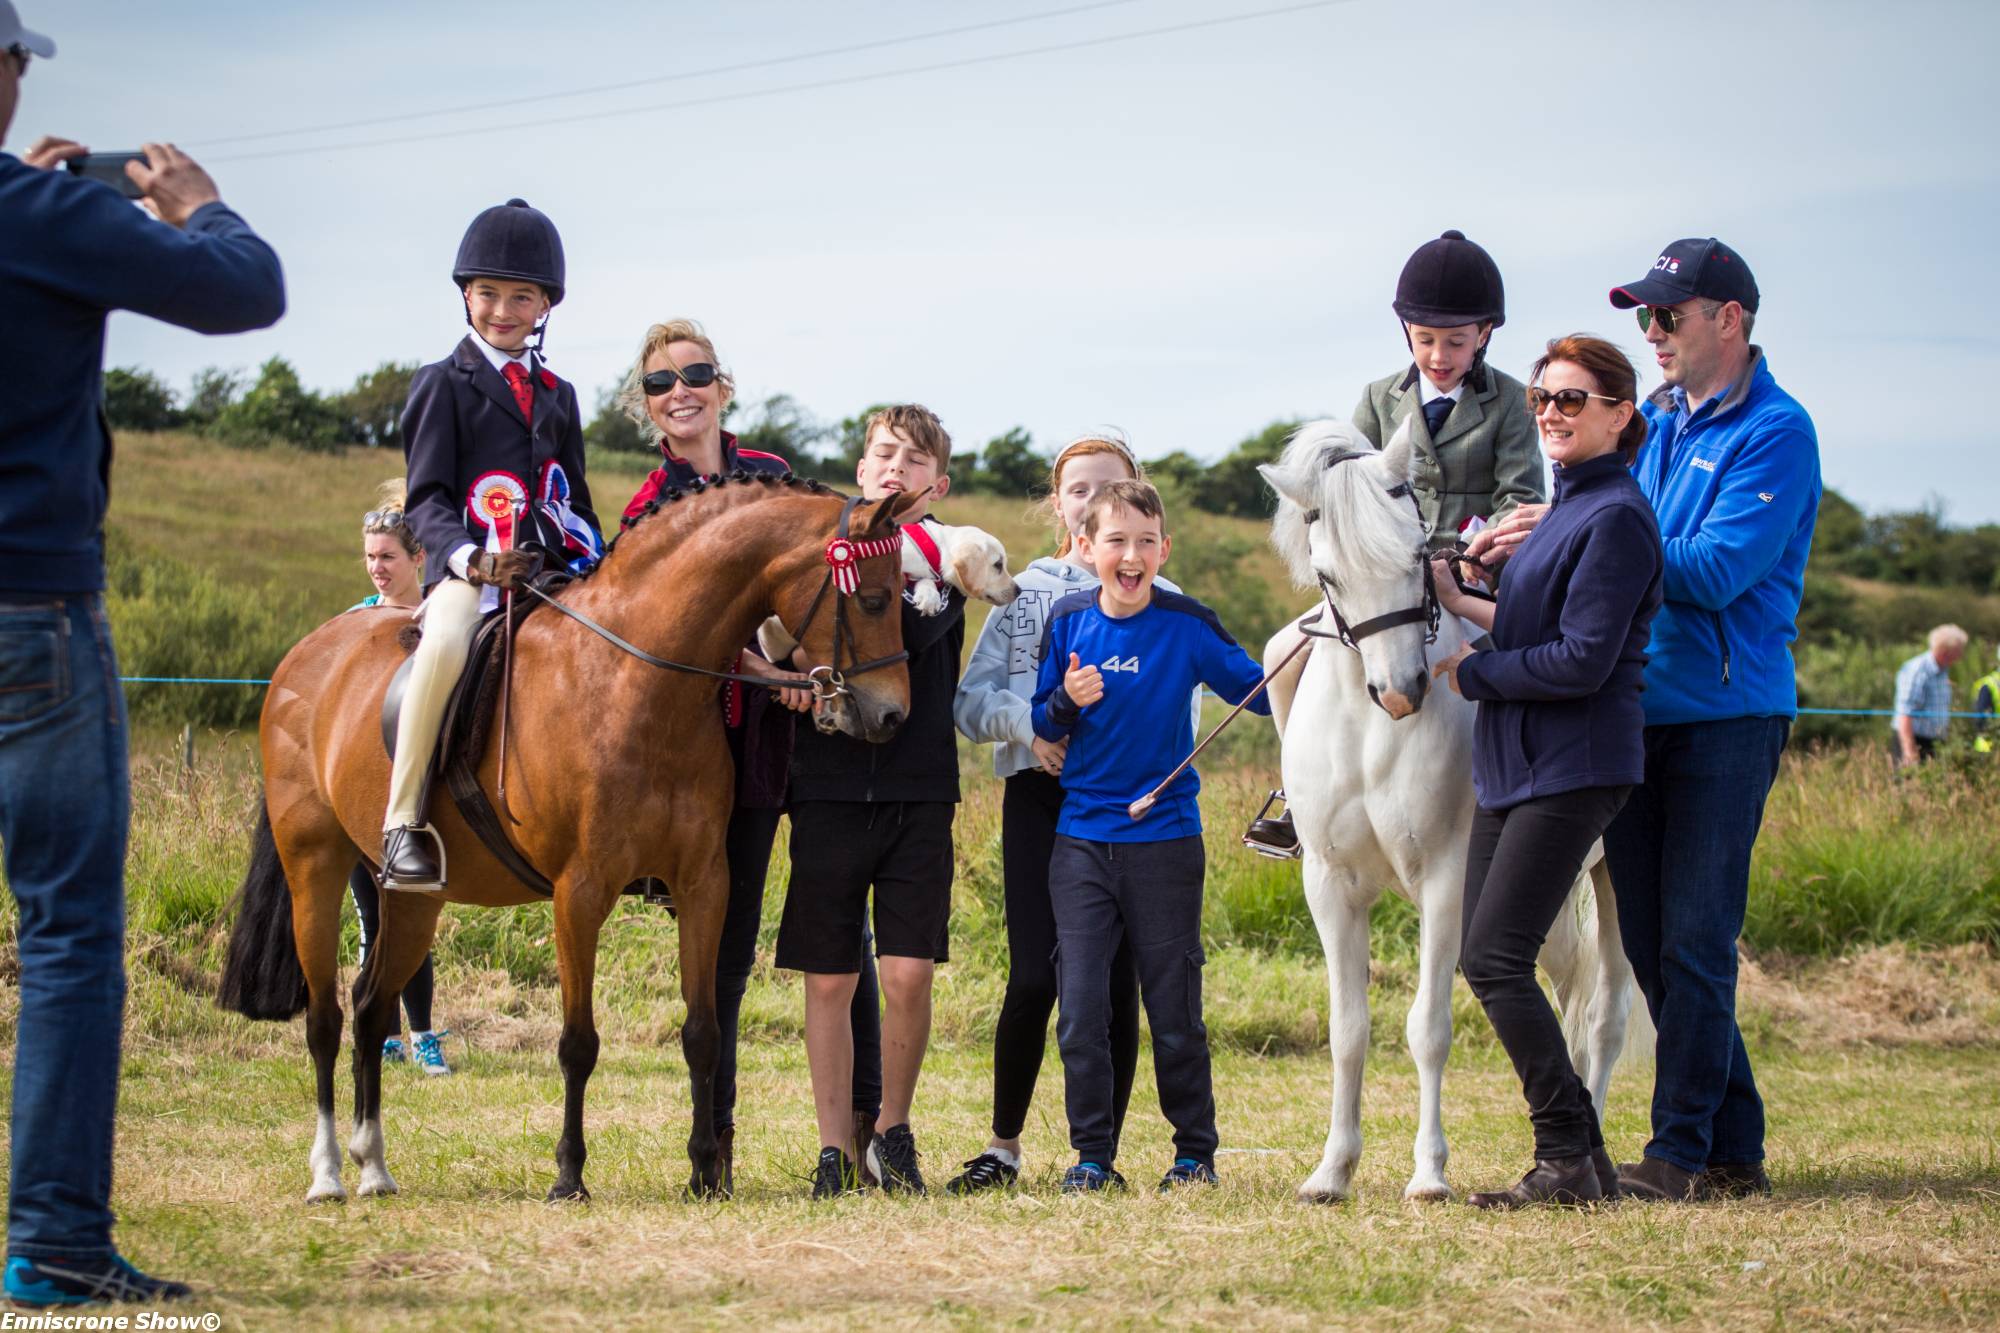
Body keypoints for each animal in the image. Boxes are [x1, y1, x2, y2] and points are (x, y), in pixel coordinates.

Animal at [218, 474, 923, 1205]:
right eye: (870, 598)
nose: (891, 715)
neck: (636, 680)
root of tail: (305, 656)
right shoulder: (579, 891)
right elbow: (578, 1041)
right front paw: (568, 1174)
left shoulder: (705, 884)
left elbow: (702, 1030)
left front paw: (704, 1170)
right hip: (315, 866)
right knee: (325, 1020)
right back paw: (328, 1170)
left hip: (413, 900)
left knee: (368, 1005)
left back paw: (374, 1165)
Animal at [1256, 419, 1638, 1202]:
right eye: (1329, 576)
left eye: (1415, 555)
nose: (1403, 692)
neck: (1369, 727)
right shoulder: (1331, 886)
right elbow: (1350, 1029)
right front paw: (1331, 1170)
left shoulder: (1446, 880)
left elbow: (1427, 1027)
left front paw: (1429, 1173)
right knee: (1571, 999)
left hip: (1611, 875)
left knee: (1605, 1016)